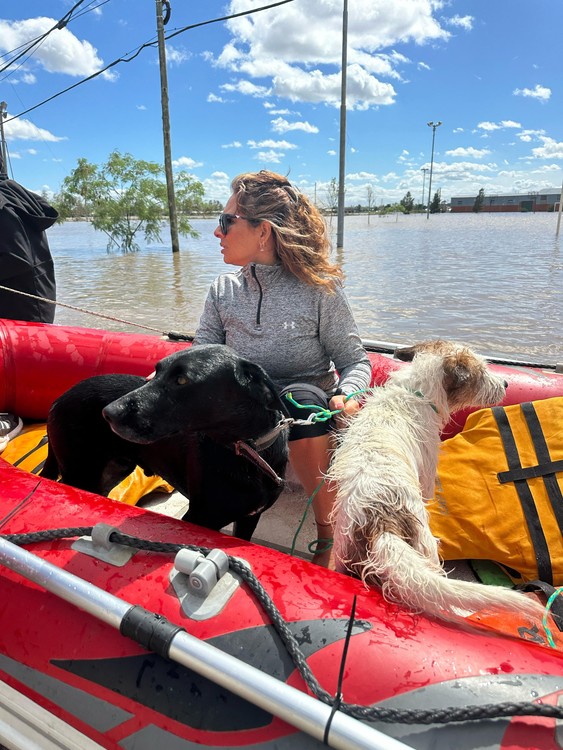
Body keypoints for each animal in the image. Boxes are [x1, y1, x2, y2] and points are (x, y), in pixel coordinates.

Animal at [42, 346, 290, 540]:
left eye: (182, 380)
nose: (108, 413)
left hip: (109, 472)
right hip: (80, 473)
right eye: (157, 372)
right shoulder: (199, 518)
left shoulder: (249, 519)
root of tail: (58, 399)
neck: (247, 452)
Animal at [330, 340, 548, 624]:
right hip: (427, 546)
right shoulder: (426, 480)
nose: (505, 384)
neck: (417, 392)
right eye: (480, 373)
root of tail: (381, 520)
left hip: (342, 551)